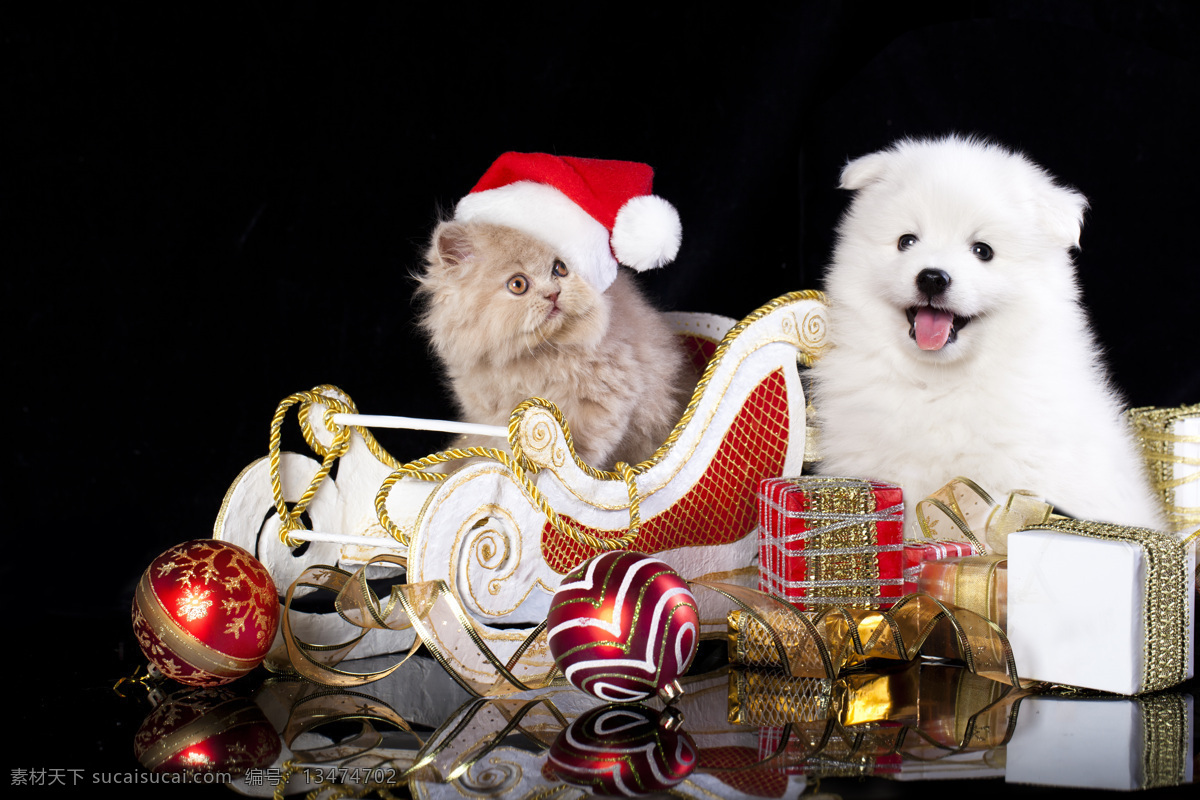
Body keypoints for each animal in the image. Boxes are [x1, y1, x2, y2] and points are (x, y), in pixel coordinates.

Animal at [417, 219, 696, 470]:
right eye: (518, 284)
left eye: (560, 269)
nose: (553, 293)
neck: (532, 356)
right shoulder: (489, 415)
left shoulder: (604, 398)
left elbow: (575, 450)